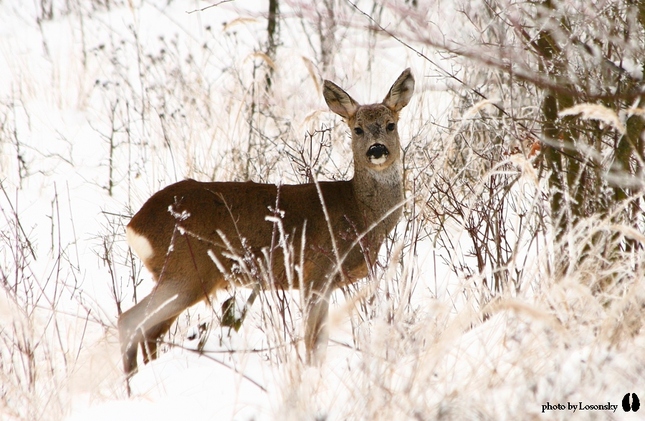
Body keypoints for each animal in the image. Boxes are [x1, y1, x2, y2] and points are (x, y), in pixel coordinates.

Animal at [118, 69, 416, 374]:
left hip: (178, 276)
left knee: (150, 332)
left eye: (391, 125)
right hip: (186, 271)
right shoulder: (316, 272)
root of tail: (135, 226)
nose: (377, 150)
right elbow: (311, 338)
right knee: (130, 321)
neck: (359, 212)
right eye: (357, 129)